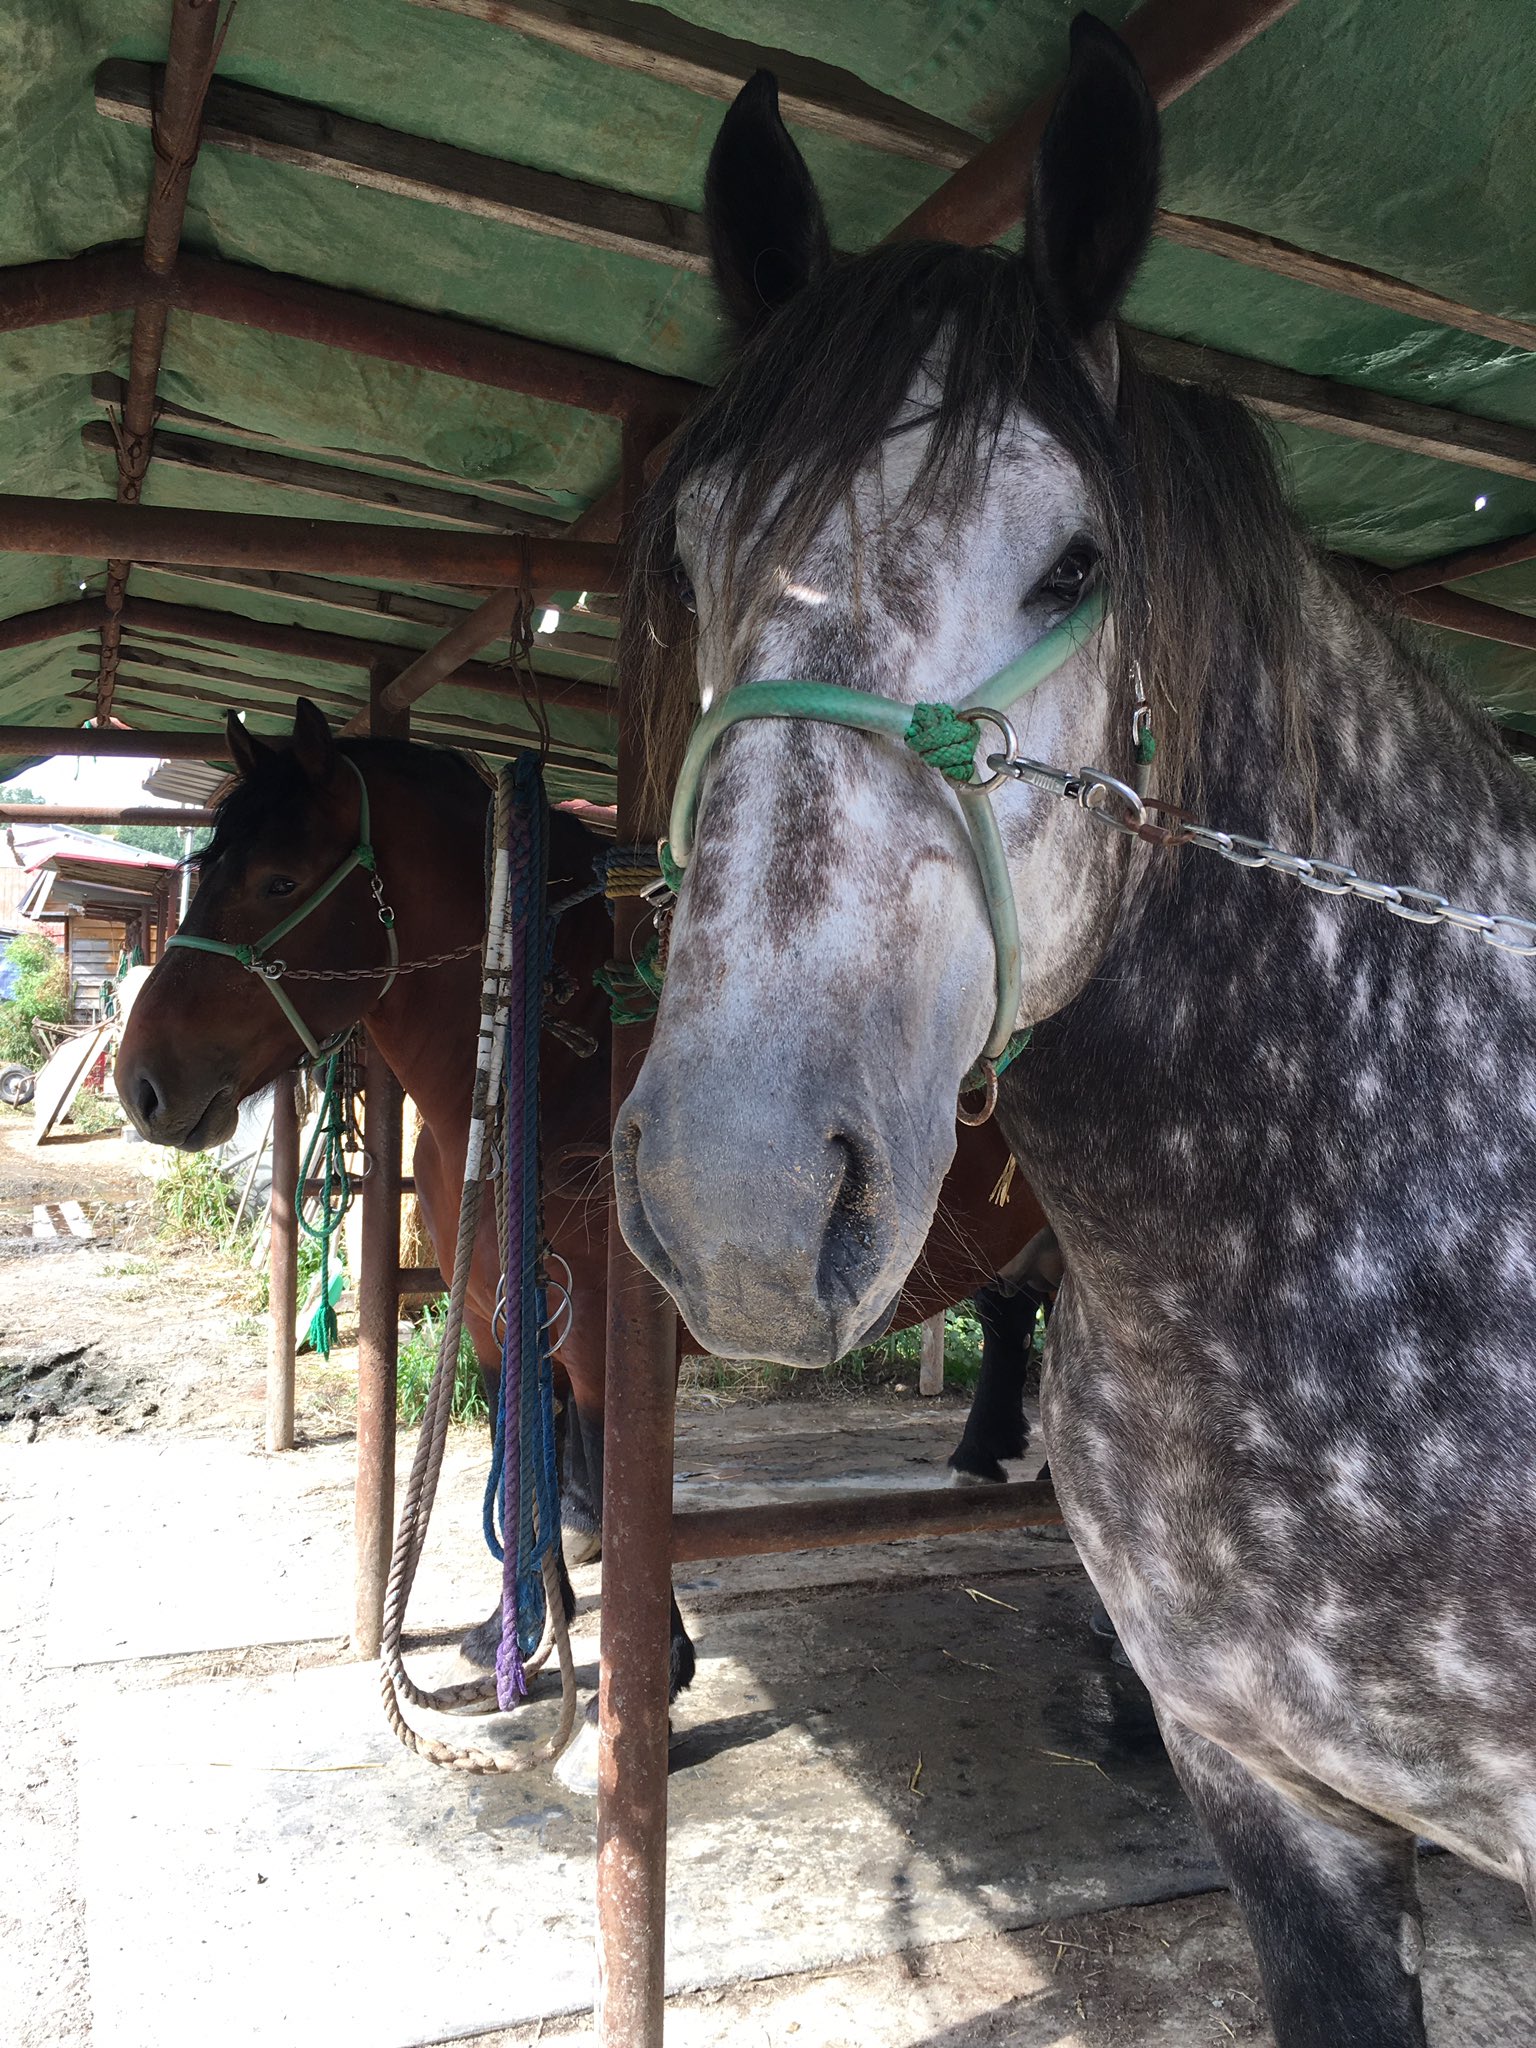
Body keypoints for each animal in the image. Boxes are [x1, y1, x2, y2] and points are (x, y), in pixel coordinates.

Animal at [114, 706, 1050, 1705]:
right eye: (208, 870)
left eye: (279, 880)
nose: (141, 1084)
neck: (547, 1077)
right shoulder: (493, 1313)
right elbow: (522, 1451)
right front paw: (515, 1628)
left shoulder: (608, 1326)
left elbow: (613, 1471)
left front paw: (656, 1657)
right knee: (1012, 1316)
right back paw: (984, 1454)